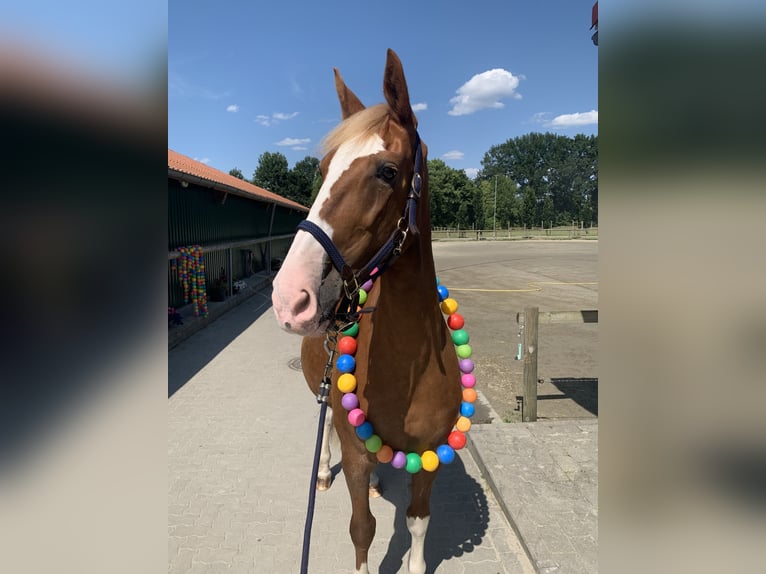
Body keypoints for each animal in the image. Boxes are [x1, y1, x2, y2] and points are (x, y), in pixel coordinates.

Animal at [274, 50, 462, 574]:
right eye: (322, 168)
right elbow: (363, 531)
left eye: (387, 171)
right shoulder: (355, 455)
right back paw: (323, 473)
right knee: (325, 433)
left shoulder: (429, 456)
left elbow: (418, 523)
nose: (290, 294)